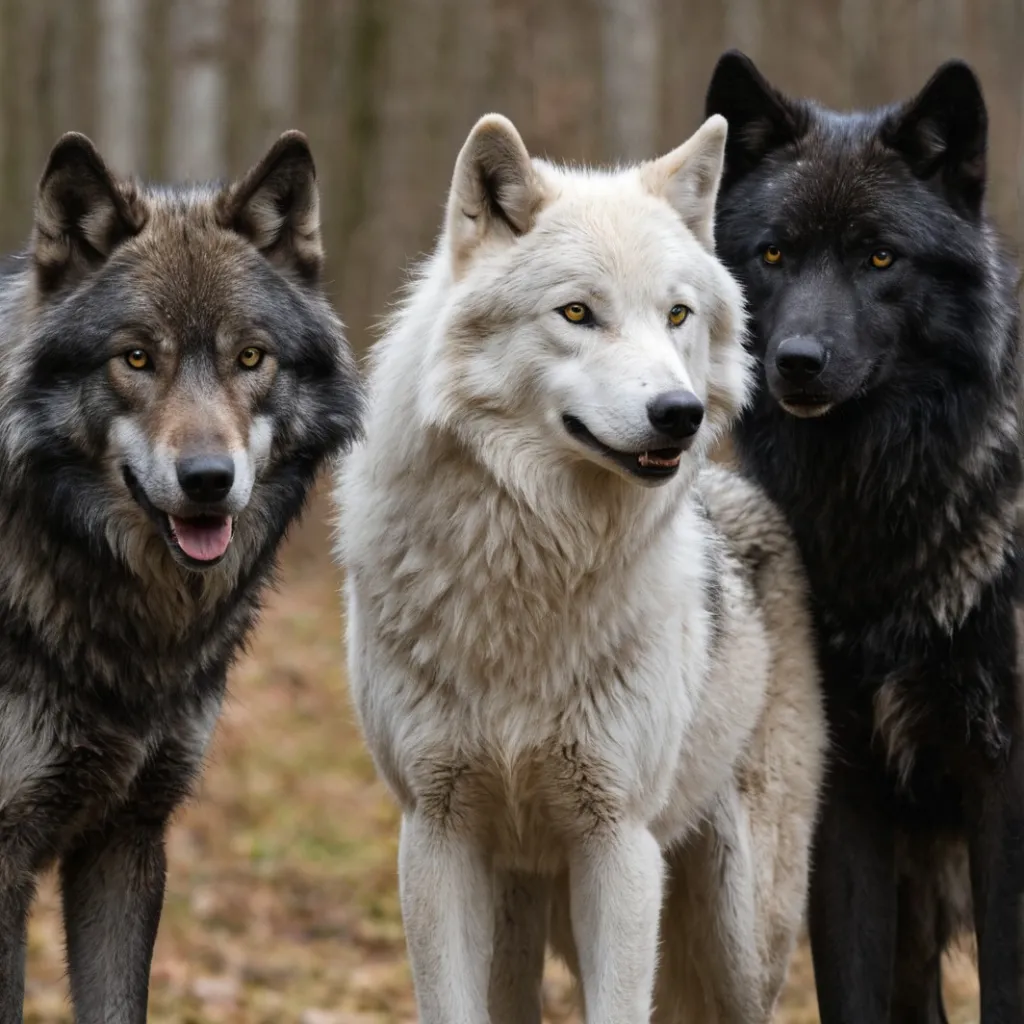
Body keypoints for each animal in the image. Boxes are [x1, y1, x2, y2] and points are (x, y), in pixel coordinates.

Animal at [335, 111, 825, 1023]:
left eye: (677, 314)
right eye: (577, 313)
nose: (679, 413)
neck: (534, 561)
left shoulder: (619, 843)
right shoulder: (437, 831)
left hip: (737, 933)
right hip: (529, 905)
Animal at [706, 51, 1024, 1022]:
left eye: (879, 257)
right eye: (773, 254)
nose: (796, 363)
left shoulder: (1005, 789)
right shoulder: (844, 792)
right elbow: (850, 983)